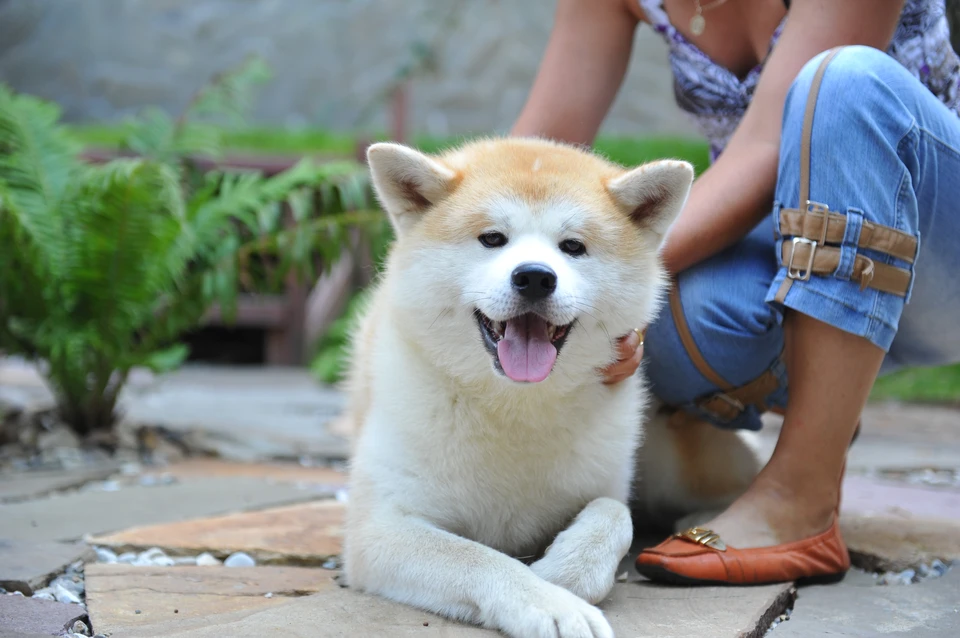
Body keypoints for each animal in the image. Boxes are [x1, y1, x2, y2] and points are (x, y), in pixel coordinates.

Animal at [342, 139, 760, 638]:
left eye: (573, 247)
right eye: (492, 239)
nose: (535, 277)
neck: (516, 406)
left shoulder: (605, 483)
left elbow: (614, 512)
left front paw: (564, 572)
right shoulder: (380, 528)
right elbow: (479, 559)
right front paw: (549, 602)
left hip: (668, 465)